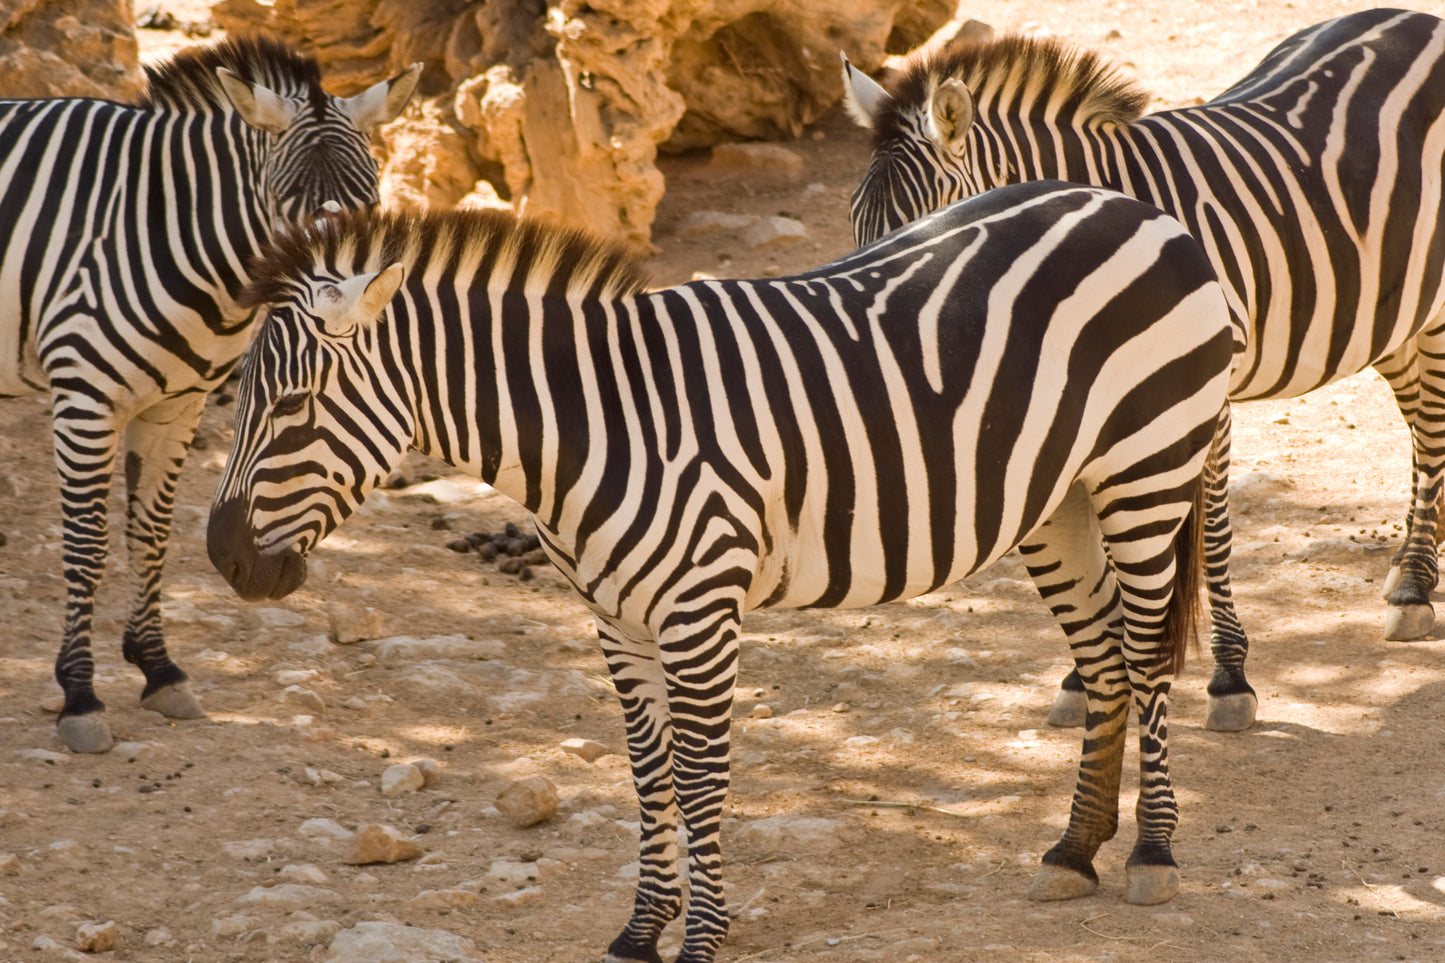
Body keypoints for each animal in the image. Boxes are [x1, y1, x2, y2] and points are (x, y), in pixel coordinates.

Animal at [0, 35, 421, 753]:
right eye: (285, 201)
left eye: (370, 198)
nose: (341, 309)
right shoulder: (85, 394)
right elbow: (87, 543)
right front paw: (80, 695)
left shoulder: (178, 404)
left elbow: (151, 532)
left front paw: (158, 669)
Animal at [206, 184, 1233, 963]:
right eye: (239, 396)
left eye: (292, 405)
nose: (222, 557)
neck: (590, 425)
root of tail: (1134, 206)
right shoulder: (615, 618)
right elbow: (646, 773)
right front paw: (638, 932)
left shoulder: (700, 609)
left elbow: (699, 778)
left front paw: (699, 938)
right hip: (1056, 502)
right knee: (1103, 663)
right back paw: (1073, 849)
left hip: (1147, 472)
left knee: (1145, 660)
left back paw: (1150, 854)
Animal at [842, 8, 1445, 733]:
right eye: (855, 225)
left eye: (924, 230)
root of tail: (1417, 18)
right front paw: (1082, 675)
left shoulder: (1202, 394)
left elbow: (1210, 534)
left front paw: (1228, 677)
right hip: (1387, 307)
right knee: (1421, 421)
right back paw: (1413, 568)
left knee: (1432, 427)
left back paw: (1413, 587)